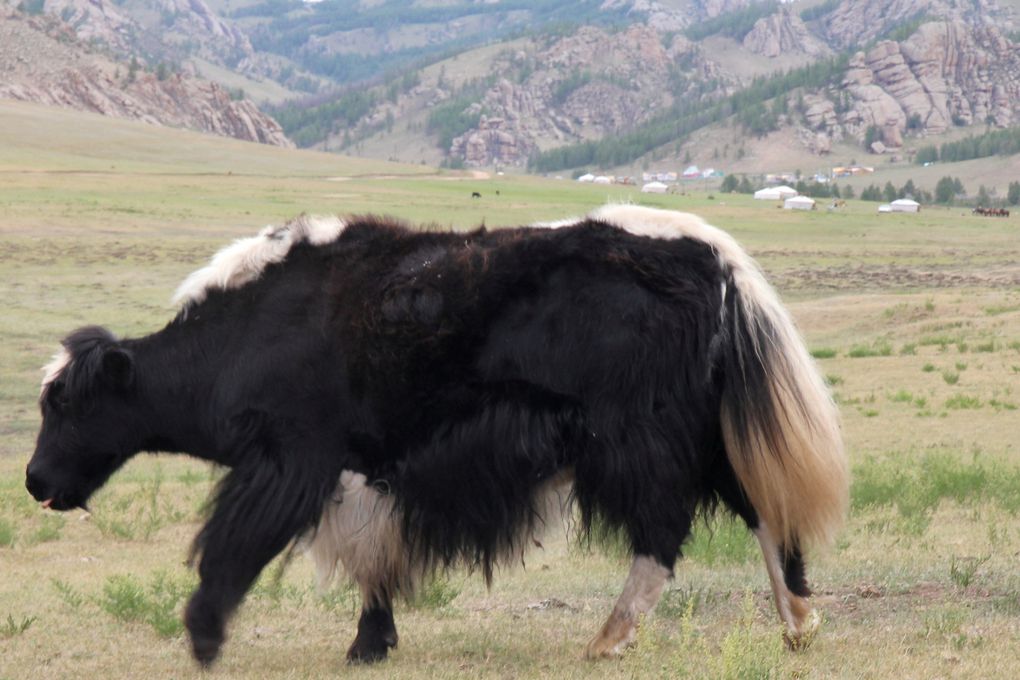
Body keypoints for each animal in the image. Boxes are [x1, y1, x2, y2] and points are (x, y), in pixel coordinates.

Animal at [27, 204, 848, 668]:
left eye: (64, 402)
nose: (36, 482)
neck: (247, 331)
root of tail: (714, 259)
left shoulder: (297, 460)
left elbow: (238, 544)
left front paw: (203, 638)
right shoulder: (364, 471)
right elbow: (372, 559)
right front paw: (372, 643)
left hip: (635, 437)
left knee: (664, 530)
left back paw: (608, 639)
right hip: (704, 430)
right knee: (760, 511)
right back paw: (798, 625)